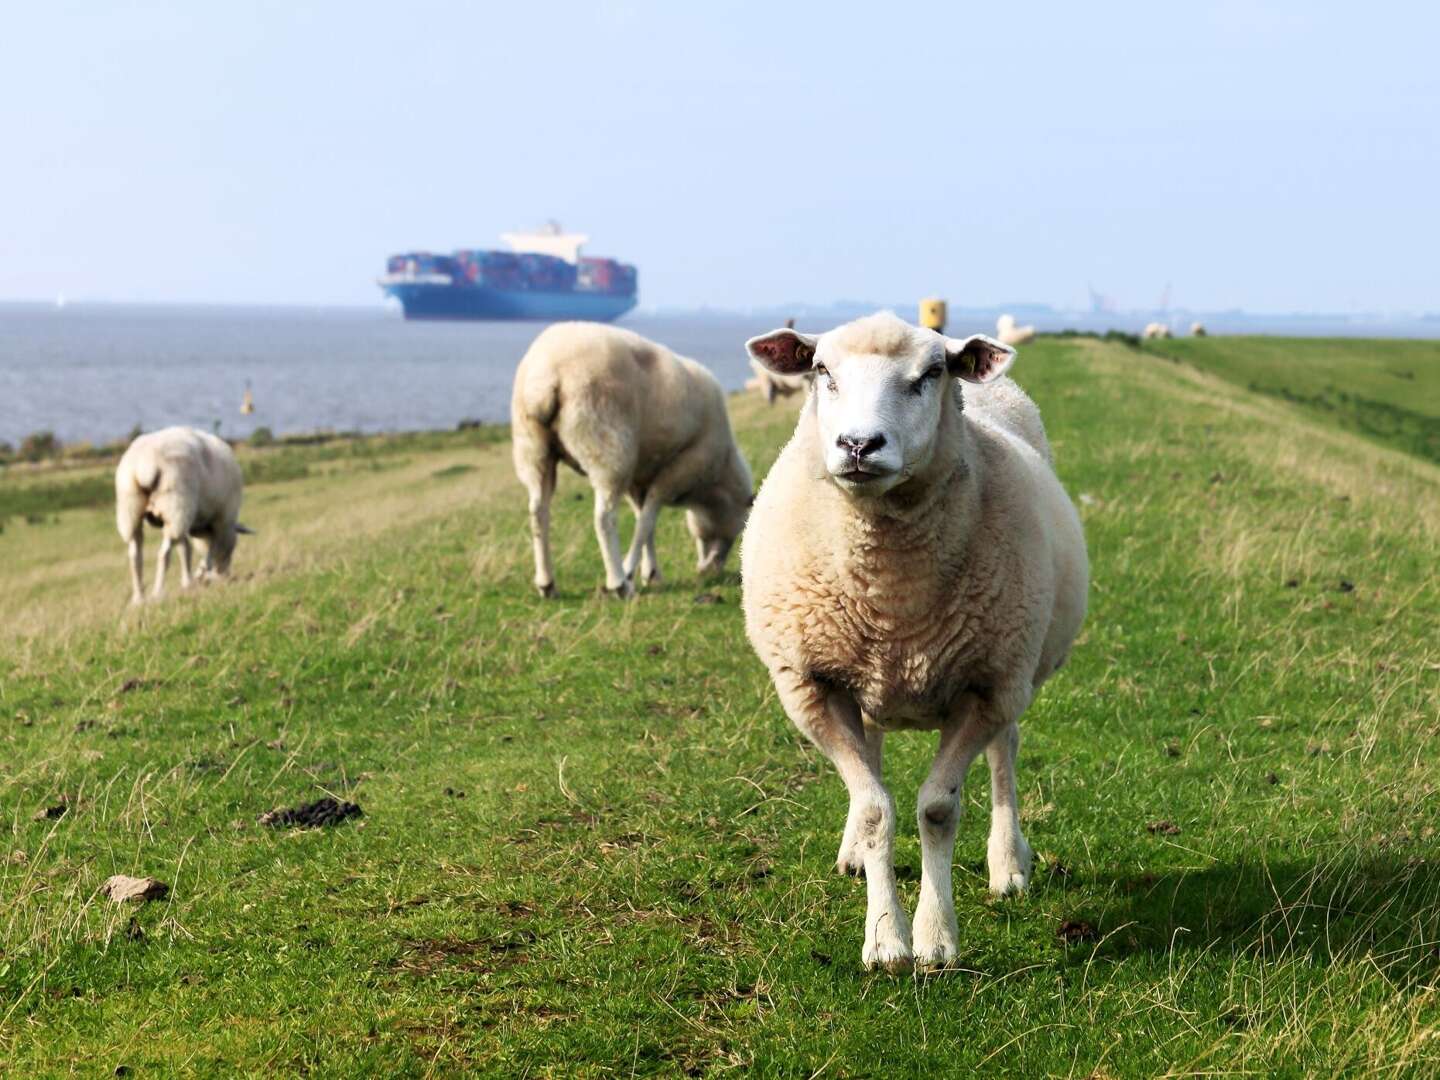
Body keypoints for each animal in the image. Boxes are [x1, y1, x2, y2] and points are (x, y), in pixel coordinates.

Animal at [119, 426, 254, 610]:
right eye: (233, 548)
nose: (225, 576)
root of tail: (146, 465)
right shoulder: (221, 520)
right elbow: (209, 549)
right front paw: (202, 575)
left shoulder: (187, 521)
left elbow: (185, 548)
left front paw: (190, 581)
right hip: (175, 502)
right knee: (164, 554)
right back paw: (157, 593)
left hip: (132, 509)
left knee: (134, 554)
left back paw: (138, 598)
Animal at [512, 321, 754, 601]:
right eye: (738, 530)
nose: (710, 571)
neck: (714, 481)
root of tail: (545, 377)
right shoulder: (679, 470)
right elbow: (646, 521)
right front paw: (629, 570)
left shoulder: (639, 477)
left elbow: (643, 521)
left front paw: (651, 573)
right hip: (609, 449)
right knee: (604, 519)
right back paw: (618, 583)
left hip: (533, 450)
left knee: (538, 511)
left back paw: (547, 583)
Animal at [743, 311, 1088, 973]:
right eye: (821, 369)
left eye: (930, 373)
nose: (859, 445)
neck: (890, 594)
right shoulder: (811, 686)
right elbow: (877, 808)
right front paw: (884, 940)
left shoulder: (987, 685)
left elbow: (937, 808)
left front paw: (935, 938)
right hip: (864, 672)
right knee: (872, 756)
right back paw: (856, 851)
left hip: (1016, 666)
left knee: (1005, 751)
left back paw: (1008, 862)